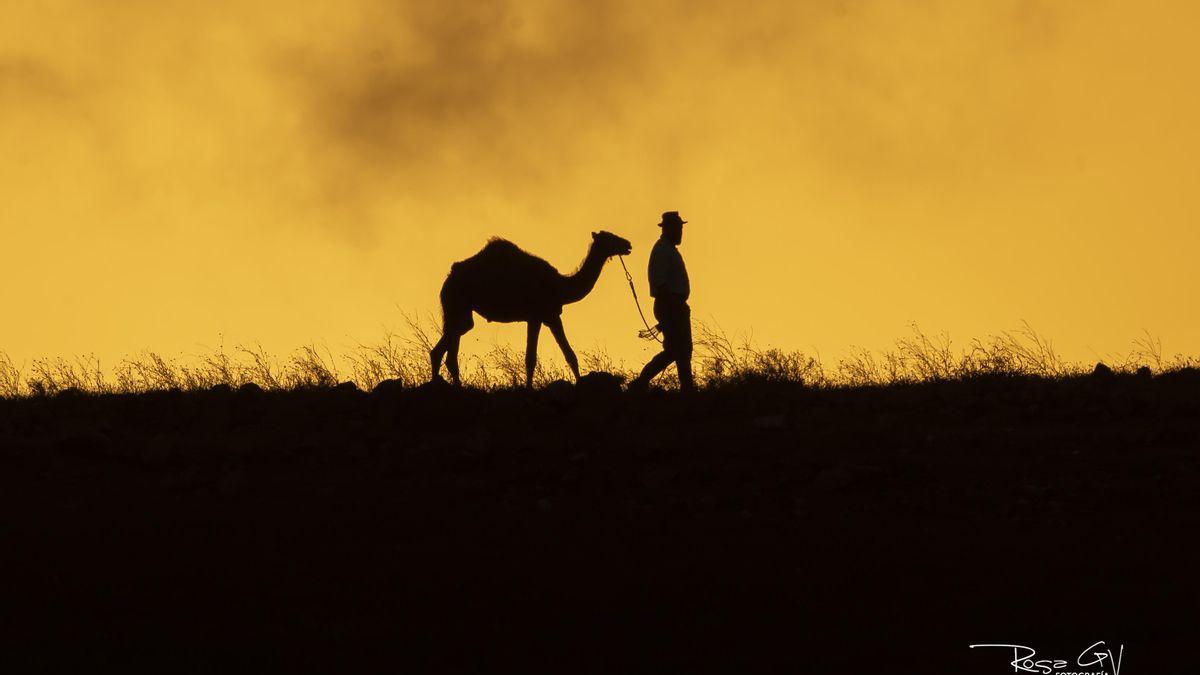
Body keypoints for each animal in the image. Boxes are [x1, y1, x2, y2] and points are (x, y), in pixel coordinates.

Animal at [430, 230, 633, 387]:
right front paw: (529, 389)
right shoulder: (541, 315)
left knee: (451, 345)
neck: (561, 286)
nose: (628, 244)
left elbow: (569, 355)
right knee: (449, 344)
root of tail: (448, 280)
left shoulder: (547, 316)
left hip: (458, 309)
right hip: (458, 303)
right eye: (610, 237)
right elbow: (533, 358)